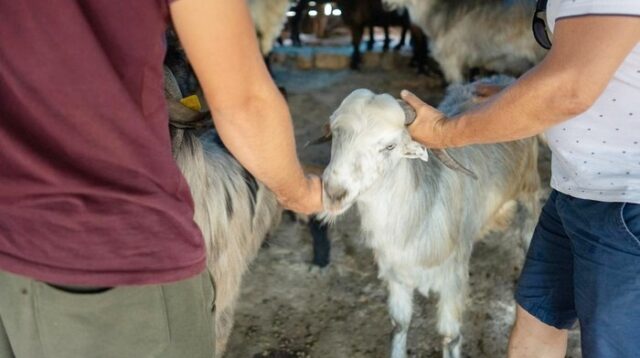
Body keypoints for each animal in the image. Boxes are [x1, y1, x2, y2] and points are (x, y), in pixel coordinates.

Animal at [320, 76, 540, 358]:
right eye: (336, 133)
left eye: (389, 145)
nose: (334, 192)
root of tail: (501, 78)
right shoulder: (396, 275)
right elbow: (400, 324)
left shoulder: (452, 280)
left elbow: (450, 336)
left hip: (530, 191)